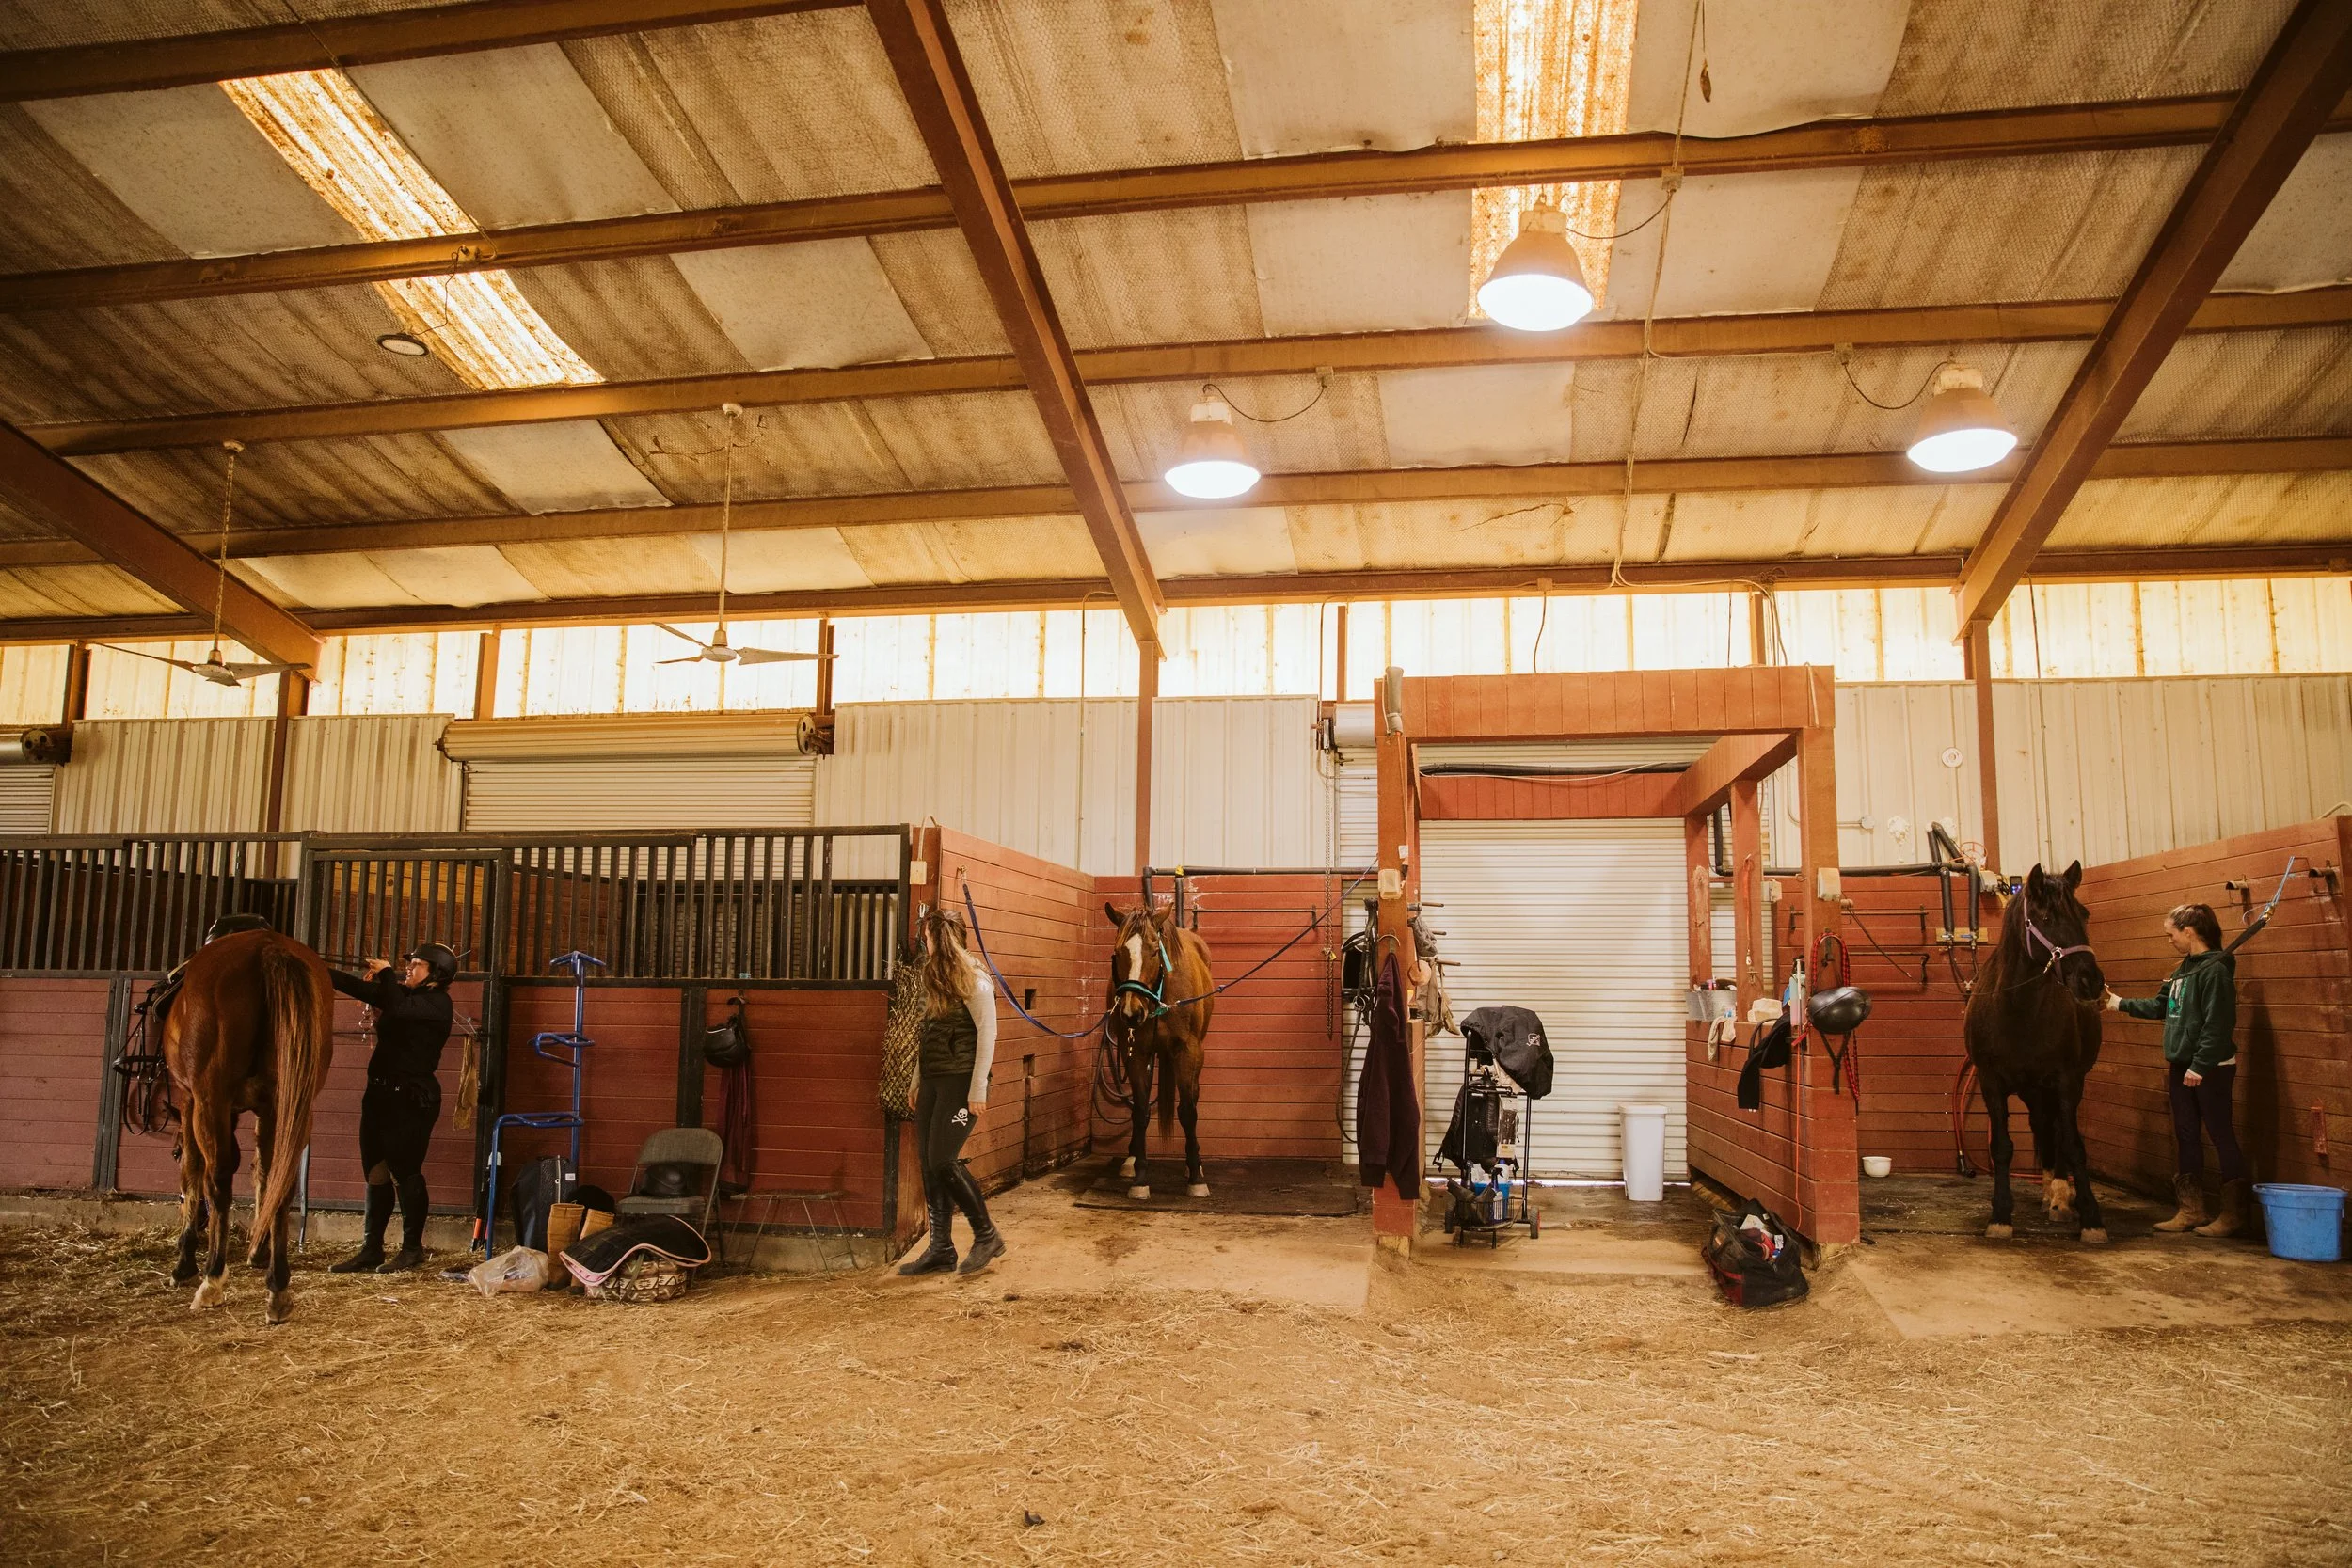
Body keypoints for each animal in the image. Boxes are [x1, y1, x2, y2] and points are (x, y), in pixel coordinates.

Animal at [161, 928, 336, 1323]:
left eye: (173, 1151)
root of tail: (267, 949)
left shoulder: (191, 1099)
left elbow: (192, 1172)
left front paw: (184, 1262)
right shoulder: (266, 1108)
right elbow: (263, 1172)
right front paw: (258, 1252)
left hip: (210, 1101)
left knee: (218, 1180)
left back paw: (212, 1279)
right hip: (294, 1105)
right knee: (282, 1183)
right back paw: (278, 1287)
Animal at [1103, 901, 1215, 1201]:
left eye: (1154, 951)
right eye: (1117, 952)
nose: (1131, 1013)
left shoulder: (1187, 1051)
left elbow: (1188, 1111)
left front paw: (1196, 1177)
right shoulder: (1135, 1054)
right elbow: (1140, 1111)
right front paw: (1140, 1177)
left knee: (1194, 1097)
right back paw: (1130, 1159)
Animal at [1962, 861, 2109, 1244]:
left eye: (2083, 913)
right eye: (2044, 917)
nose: (2090, 980)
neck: (2018, 1009)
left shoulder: (2067, 1081)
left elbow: (2073, 1146)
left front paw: (2092, 1219)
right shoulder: (1991, 1082)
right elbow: (2002, 1147)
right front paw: (2000, 1216)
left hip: (2055, 1088)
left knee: (2056, 1132)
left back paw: (2059, 1198)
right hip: (2033, 1091)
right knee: (2042, 1127)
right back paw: (2048, 1194)